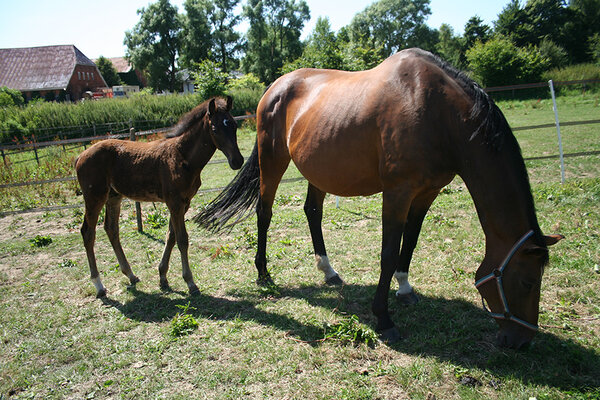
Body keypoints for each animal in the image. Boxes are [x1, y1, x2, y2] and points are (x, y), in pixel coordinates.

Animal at [76, 96, 243, 296]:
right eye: (215, 129)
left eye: (234, 125)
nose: (237, 161)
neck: (183, 156)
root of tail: (80, 156)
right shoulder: (175, 203)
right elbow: (182, 239)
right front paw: (190, 283)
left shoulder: (184, 203)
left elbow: (171, 236)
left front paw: (163, 277)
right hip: (94, 197)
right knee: (88, 232)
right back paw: (99, 285)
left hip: (114, 197)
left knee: (111, 229)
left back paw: (130, 275)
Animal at [196, 50, 564, 348]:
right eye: (528, 281)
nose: (521, 341)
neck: (436, 112)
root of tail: (274, 89)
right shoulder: (398, 192)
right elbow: (388, 253)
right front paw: (384, 319)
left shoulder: (427, 192)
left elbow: (409, 243)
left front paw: (405, 289)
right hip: (273, 161)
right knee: (264, 211)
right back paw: (263, 273)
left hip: (319, 169)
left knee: (312, 211)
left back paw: (329, 272)